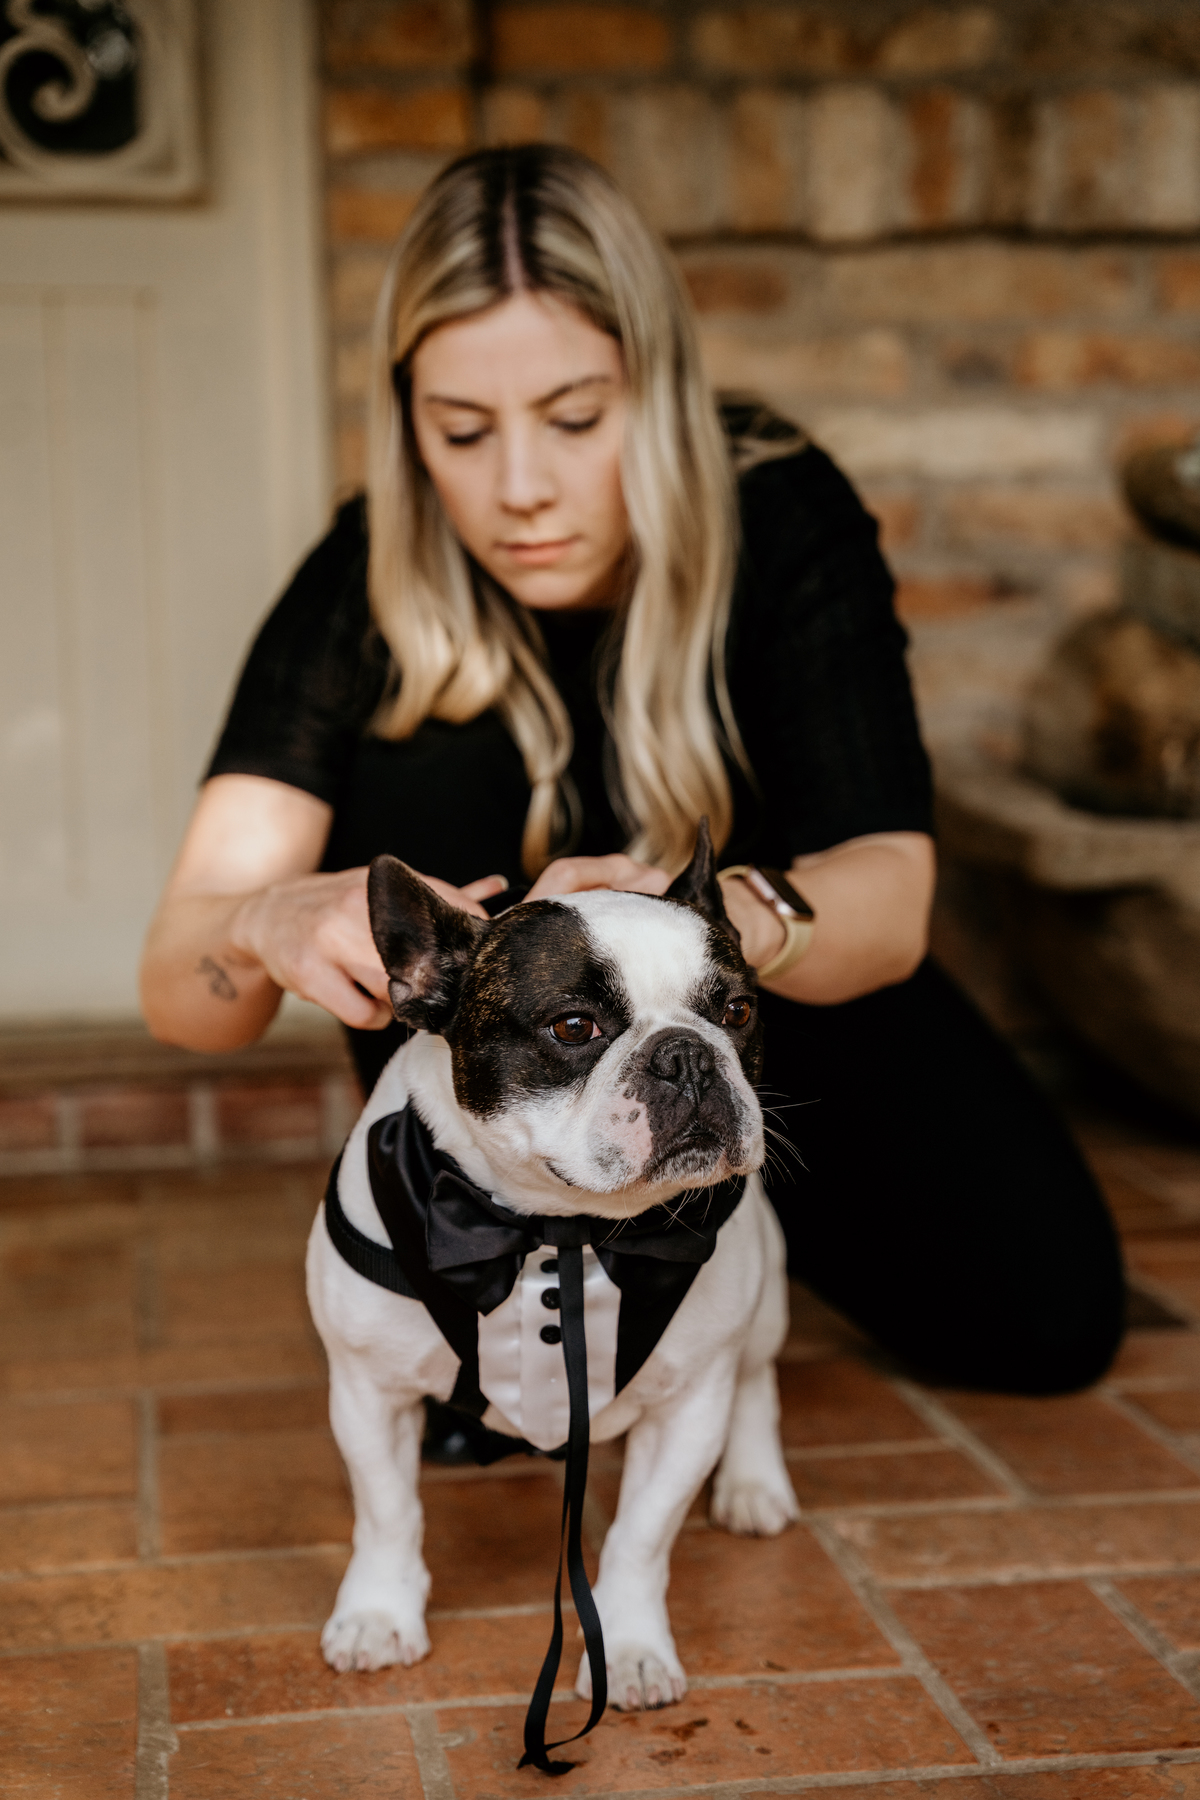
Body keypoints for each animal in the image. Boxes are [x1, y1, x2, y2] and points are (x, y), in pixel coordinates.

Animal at [305, 825, 798, 1725]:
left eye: (738, 1012)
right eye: (574, 1027)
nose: (688, 1055)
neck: (554, 1228)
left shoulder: (687, 1409)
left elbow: (641, 1536)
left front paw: (632, 1650)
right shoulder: (367, 1391)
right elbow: (387, 1511)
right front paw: (379, 1614)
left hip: (760, 1302)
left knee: (756, 1381)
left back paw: (752, 1483)